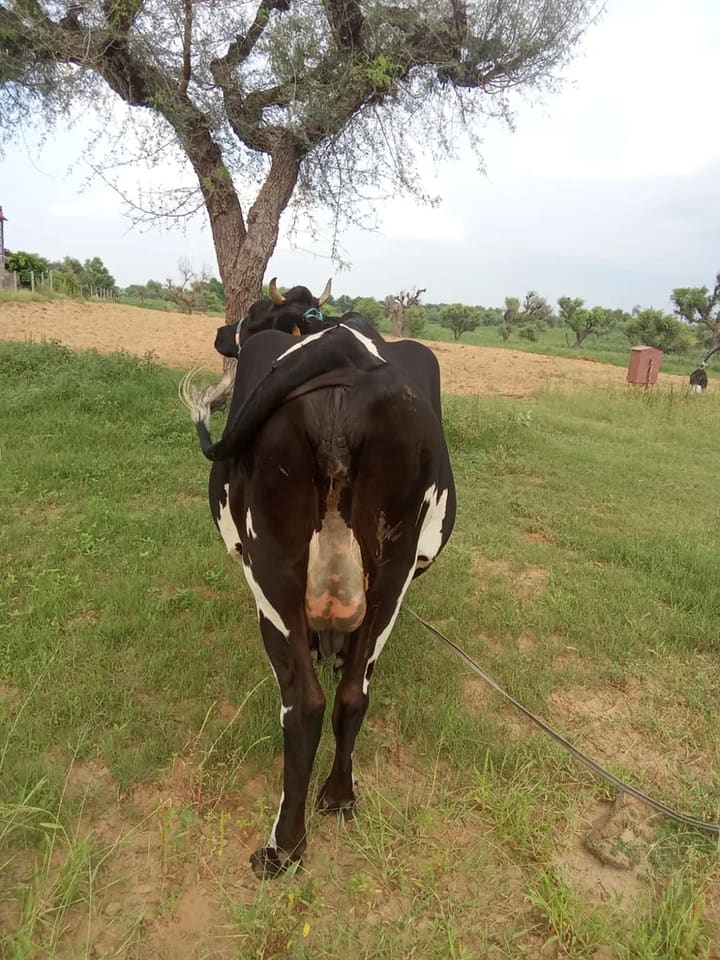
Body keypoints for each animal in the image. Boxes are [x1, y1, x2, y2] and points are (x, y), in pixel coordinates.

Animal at [181, 280, 456, 878]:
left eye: (257, 312)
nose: (221, 332)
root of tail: (344, 350)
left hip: (271, 568)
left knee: (304, 704)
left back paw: (284, 845)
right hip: (392, 572)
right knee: (354, 693)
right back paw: (339, 795)